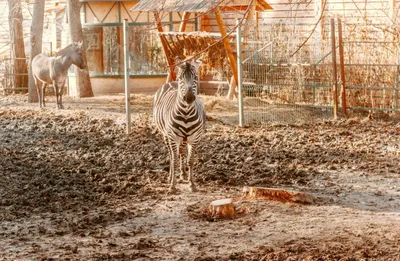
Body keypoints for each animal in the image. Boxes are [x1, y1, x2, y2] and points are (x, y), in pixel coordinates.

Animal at [153, 58, 206, 192]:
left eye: (196, 77)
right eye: (181, 78)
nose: (189, 98)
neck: (186, 113)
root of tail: (171, 83)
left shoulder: (195, 138)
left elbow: (190, 160)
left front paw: (192, 184)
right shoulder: (172, 137)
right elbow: (174, 160)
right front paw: (172, 185)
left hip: (184, 138)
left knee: (181, 152)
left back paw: (183, 174)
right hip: (166, 136)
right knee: (172, 155)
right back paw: (171, 177)